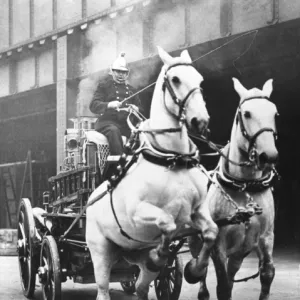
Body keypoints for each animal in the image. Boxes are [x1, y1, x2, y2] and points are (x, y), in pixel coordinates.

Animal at [86, 47, 218, 300]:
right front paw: (158, 256)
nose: (201, 121)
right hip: (100, 251)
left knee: (140, 287)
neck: (172, 159)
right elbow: (167, 223)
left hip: (133, 252)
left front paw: (194, 269)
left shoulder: (197, 210)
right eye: (175, 79)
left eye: (199, 79)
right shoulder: (138, 212)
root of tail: (89, 200)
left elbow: (211, 232)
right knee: (103, 289)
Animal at [188, 78, 278, 300]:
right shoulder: (218, 242)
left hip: (239, 251)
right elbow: (221, 285)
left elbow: (267, 273)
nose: (269, 156)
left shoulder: (266, 236)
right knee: (200, 265)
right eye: (246, 114)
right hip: (195, 238)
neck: (245, 186)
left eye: (275, 113)